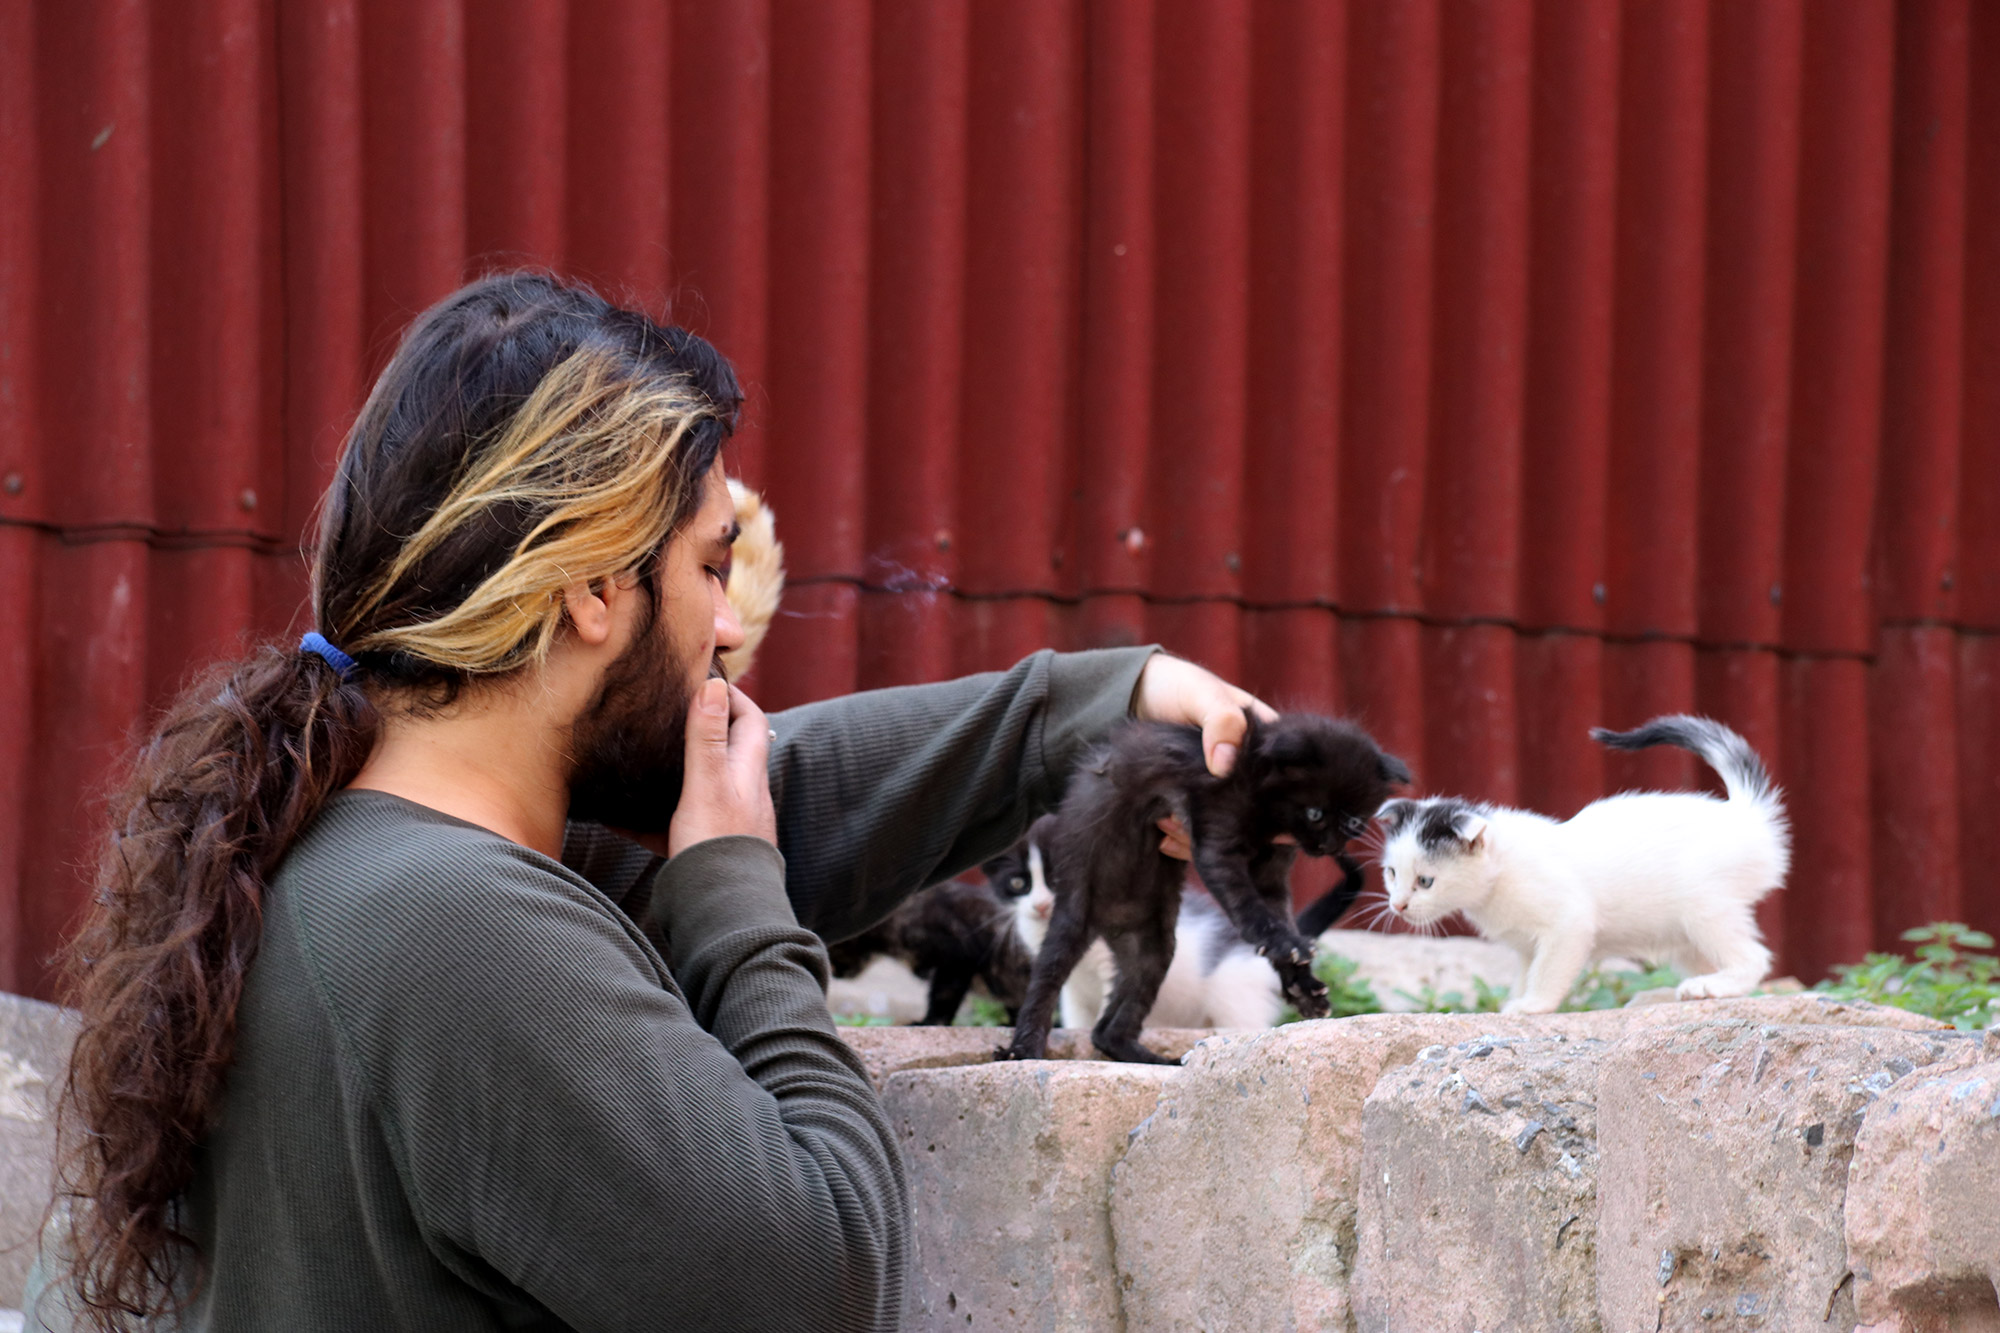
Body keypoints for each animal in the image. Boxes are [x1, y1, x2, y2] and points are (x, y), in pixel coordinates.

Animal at [996, 712, 1408, 1064]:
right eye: (1315, 813)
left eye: (1354, 822)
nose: (1329, 847)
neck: (1263, 810)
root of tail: (1107, 926)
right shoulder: (1216, 843)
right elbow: (1250, 908)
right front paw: (1286, 947)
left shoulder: (1272, 874)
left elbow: (1279, 916)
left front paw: (1303, 985)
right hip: (1071, 918)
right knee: (1047, 981)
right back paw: (1022, 1049)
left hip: (1154, 949)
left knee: (1106, 1031)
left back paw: (1155, 1060)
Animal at [1384, 716, 1792, 1008]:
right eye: (1391, 874)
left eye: (1425, 881)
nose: (1397, 905)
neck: (1499, 875)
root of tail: (1748, 815)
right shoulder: (1526, 945)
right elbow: (1526, 972)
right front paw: (1513, 1002)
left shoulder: (1569, 923)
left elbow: (1547, 971)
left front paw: (1532, 1005)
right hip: (1682, 935)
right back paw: (1670, 993)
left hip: (1704, 906)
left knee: (1755, 958)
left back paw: (1713, 986)